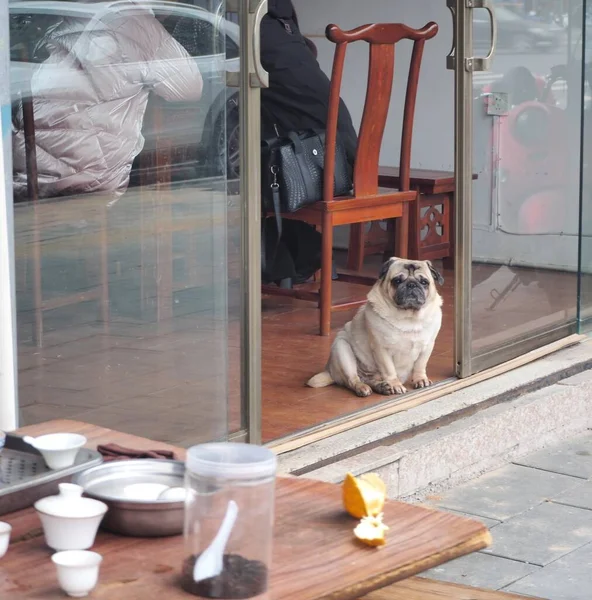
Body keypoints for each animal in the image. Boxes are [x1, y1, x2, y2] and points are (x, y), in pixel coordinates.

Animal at [308, 255, 442, 396]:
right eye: (397, 281)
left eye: (424, 282)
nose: (411, 284)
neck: (409, 317)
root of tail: (330, 371)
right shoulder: (381, 348)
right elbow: (389, 369)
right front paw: (395, 384)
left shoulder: (427, 346)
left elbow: (420, 365)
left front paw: (420, 379)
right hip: (342, 349)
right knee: (352, 380)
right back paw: (364, 388)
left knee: (370, 380)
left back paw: (382, 387)